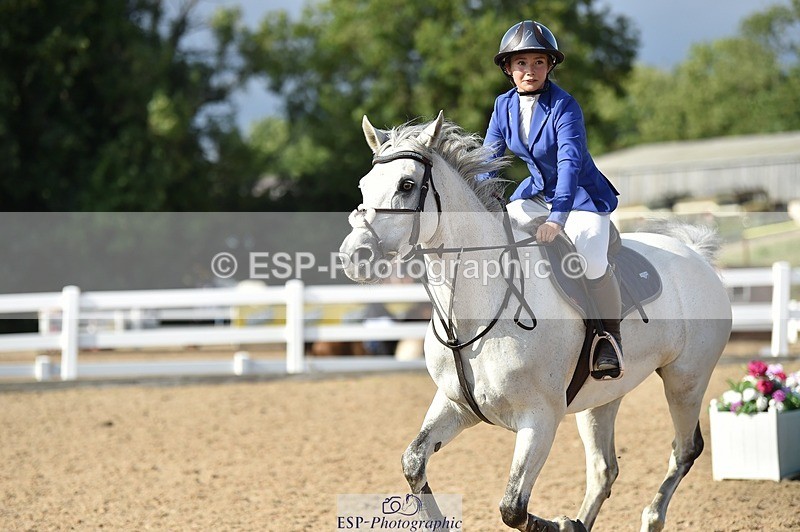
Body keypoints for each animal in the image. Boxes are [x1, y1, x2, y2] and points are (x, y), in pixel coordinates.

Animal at [338, 111, 732, 531]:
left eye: (407, 185)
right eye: (363, 185)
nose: (354, 256)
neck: (474, 311)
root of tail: (694, 253)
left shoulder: (540, 419)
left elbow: (513, 506)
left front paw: (560, 524)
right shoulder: (455, 405)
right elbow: (413, 462)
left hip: (686, 380)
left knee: (684, 450)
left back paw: (650, 517)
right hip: (604, 397)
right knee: (604, 470)